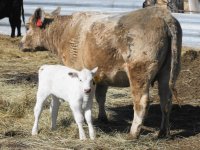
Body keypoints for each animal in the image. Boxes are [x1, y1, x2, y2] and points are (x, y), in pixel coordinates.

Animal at [19, 6, 182, 138]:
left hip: (139, 72)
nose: (20, 44)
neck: (65, 31)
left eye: (27, 27)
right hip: (167, 72)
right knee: (166, 100)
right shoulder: (102, 75)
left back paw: (133, 133)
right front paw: (102, 117)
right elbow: (100, 97)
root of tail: (163, 15)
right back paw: (163, 132)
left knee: (141, 102)